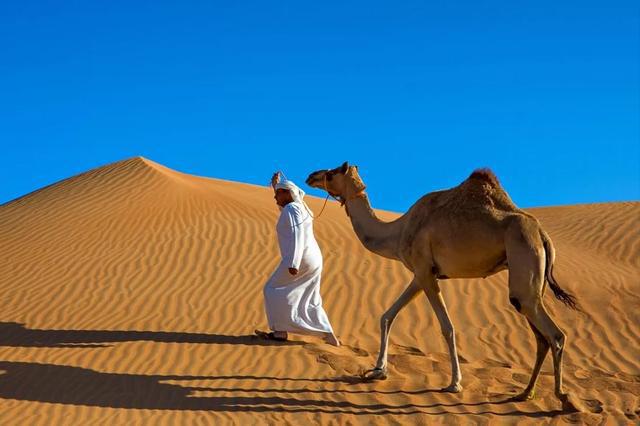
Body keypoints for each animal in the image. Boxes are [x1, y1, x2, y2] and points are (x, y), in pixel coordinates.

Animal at [308, 161, 584, 412]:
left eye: (332, 172)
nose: (311, 175)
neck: (398, 231)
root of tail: (542, 235)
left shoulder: (425, 271)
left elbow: (447, 327)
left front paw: (454, 383)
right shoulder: (421, 274)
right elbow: (387, 315)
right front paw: (378, 370)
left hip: (523, 262)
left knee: (555, 335)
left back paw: (565, 399)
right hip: (529, 283)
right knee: (540, 337)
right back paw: (525, 393)